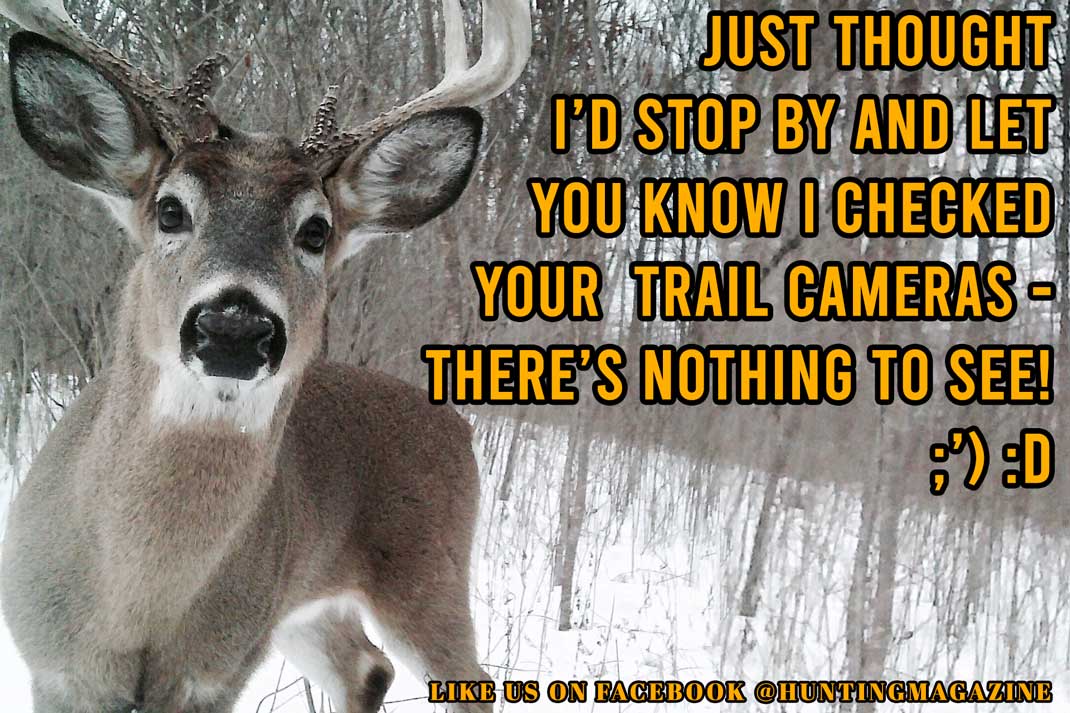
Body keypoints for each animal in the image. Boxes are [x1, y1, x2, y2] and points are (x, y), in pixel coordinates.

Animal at [0, 0, 529, 711]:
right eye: (170, 210)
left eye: (316, 231)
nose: (234, 326)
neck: (134, 607)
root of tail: (459, 424)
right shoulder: (56, 665)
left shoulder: (216, 671)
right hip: (300, 609)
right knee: (368, 667)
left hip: (428, 572)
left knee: (463, 678)